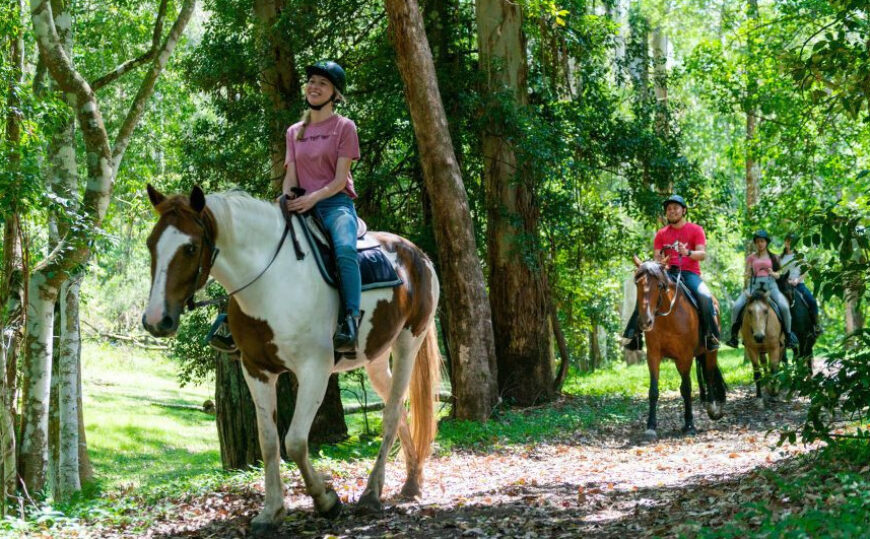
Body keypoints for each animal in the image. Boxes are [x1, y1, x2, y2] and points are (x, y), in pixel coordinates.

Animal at [142, 187, 442, 532]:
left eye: (190, 247)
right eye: (151, 244)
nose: (155, 320)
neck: (269, 283)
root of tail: (418, 255)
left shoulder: (315, 371)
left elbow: (295, 441)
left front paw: (327, 501)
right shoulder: (256, 370)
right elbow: (269, 442)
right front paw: (271, 511)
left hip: (408, 343)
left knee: (391, 413)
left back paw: (373, 493)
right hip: (376, 358)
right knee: (400, 408)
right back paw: (410, 481)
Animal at [632, 255, 728, 440]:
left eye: (659, 285)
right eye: (637, 284)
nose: (645, 322)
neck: (668, 317)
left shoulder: (684, 357)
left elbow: (686, 388)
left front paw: (689, 424)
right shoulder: (653, 356)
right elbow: (653, 391)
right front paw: (651, 427)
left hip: (711, 351)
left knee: (709, 374)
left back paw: (713, 409)